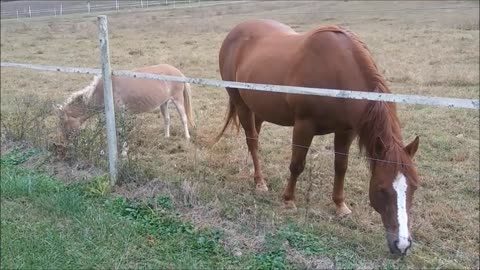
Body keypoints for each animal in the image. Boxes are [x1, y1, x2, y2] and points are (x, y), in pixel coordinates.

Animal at [54, 63, 193, 143]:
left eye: (64, 124)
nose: (68, 144)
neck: (104, 90)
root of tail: (179, 72)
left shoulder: (120, 113)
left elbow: (121, 132)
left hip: (178, 100)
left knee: (184, 118)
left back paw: (187, 137)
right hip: (163, 103)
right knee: (167, 119)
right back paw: (166, 137)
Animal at [217, 19, 420, 255]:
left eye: (414, 187)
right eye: (381, 188)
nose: (402, 245)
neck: (338, 72)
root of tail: (235, 31)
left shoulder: (346, 131)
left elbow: (341, 167)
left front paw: (340, 206)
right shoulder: (304, 126)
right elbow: (297, 165)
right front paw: (289, 200)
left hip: (258, 107)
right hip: (240, 103)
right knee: (253, 142)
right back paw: (260, 182)